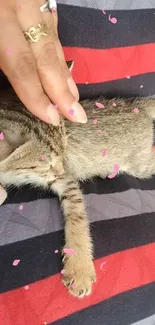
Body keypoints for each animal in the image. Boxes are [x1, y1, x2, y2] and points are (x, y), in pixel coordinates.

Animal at [0, 85, 155, 296]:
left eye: (64, 150)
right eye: (48, 165)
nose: (60, 169)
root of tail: (136, 103)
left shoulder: (66, 180)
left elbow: (77, 218)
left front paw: (79, 267)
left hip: (141, 165)